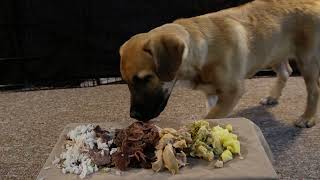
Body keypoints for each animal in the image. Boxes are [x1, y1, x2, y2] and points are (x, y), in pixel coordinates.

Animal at [119, 0, 320, 127]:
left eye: (146, 78)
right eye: (126, 82)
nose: (133, 116)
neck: (203, 49)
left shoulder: (232, 92)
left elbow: (210, 117)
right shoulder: (212, 95)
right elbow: (214, 115)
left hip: (307, 61)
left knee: (314, 89)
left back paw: (307, 118)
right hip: (272, 51)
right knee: (286, 71)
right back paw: (273, 96)